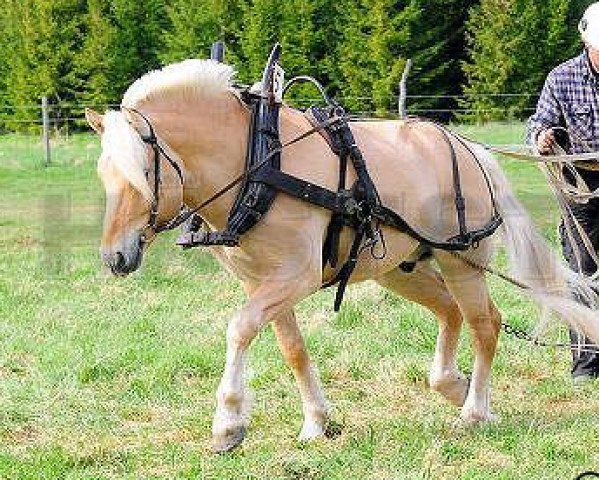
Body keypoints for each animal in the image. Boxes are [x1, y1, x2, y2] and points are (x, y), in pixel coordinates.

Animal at [84, 58, 599, 452]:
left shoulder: (297, 275)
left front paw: (228, 424)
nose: (114, 258)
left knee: (485, 323)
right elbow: (292, 349)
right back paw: (455, 386)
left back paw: (474, 412)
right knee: (450, 313)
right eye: (104, 173)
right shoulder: (262, 283)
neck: (257, 160)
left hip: (461, 260)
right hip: (400, 268)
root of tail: (469, 149)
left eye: (141, 173)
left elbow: (239, 328)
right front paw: (316, 421)